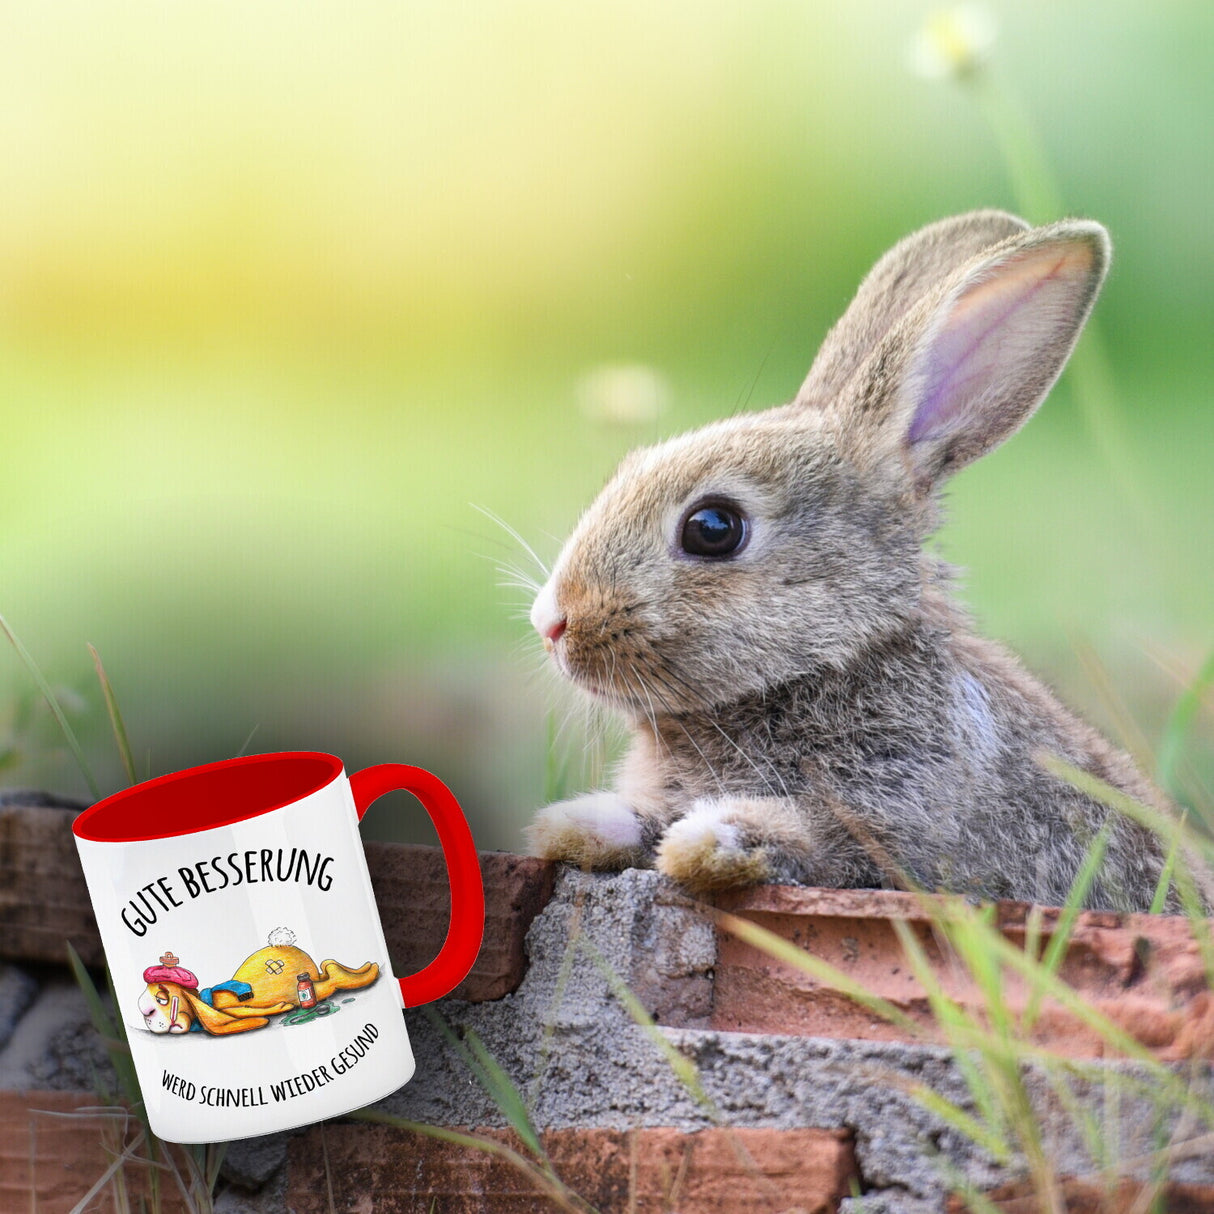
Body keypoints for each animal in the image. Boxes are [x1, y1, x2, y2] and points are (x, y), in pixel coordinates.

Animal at [524, 209, 1179, 912]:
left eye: (713, 528)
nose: (552, 622)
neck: (829, 663)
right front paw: (575, 824)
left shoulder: (898, 824)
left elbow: (815, 841)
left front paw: (711, 841)